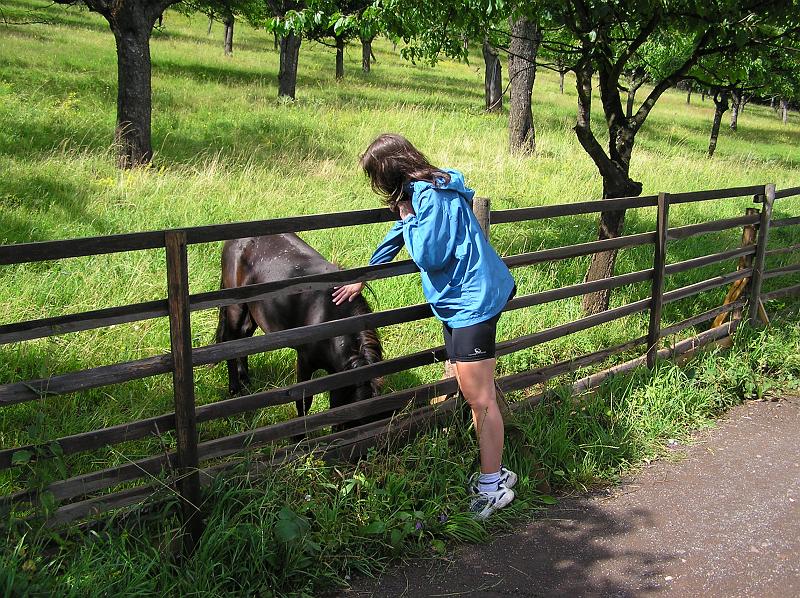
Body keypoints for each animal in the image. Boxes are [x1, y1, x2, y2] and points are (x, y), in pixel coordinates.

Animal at [217, 234, 382, 426]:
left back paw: (246, 381)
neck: (329, 316)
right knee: (230, 342)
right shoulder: (304, 361)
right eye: (353, 420)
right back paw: (235, 388)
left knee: (244, 340)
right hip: (236, 308)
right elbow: (303, 401)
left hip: (253, 312)